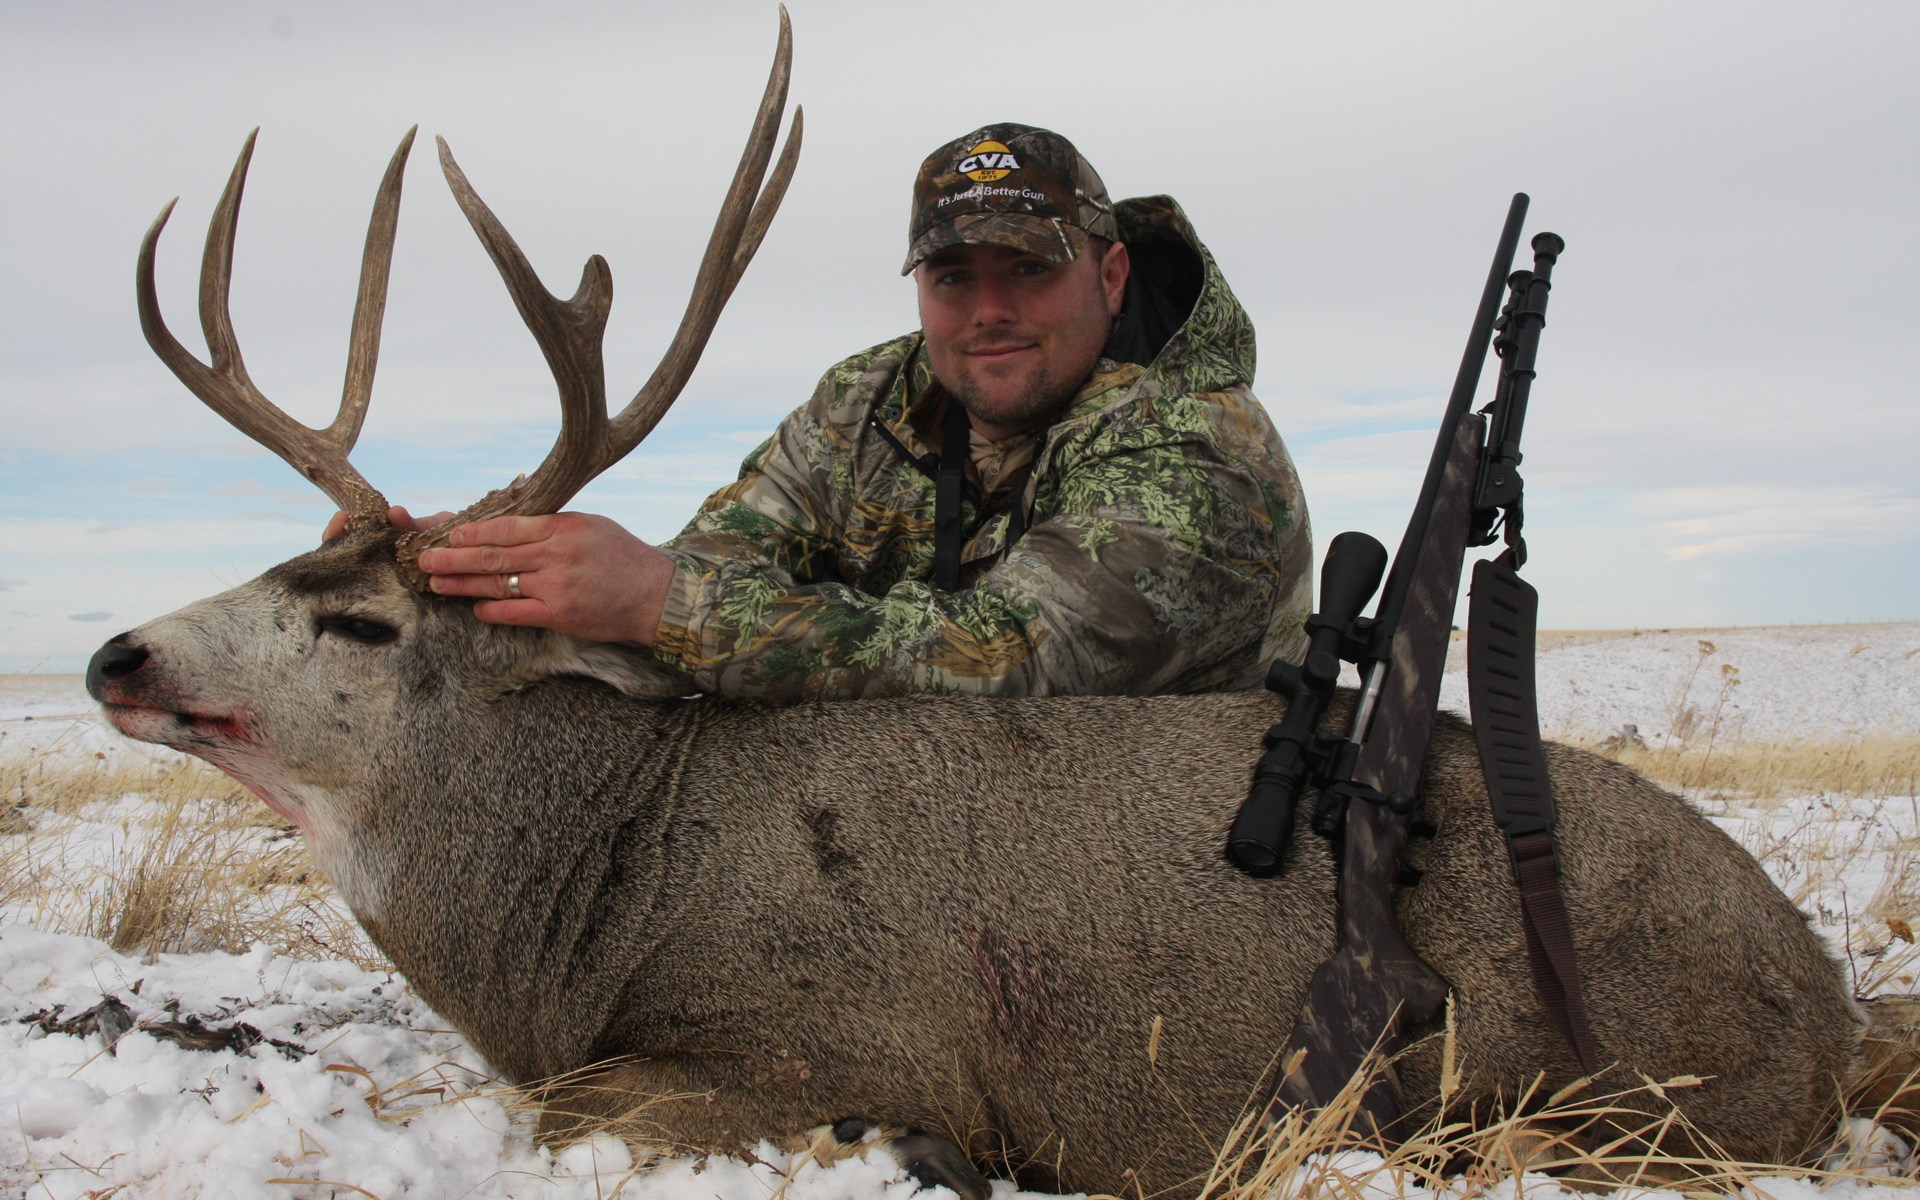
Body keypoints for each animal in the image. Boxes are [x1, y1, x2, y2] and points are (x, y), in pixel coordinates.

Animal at [84, 14, 1919, 1199]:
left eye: (364, 624)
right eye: (289, 566)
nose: (113, 651)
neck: (599, 892)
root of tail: (1819, 995)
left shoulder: (833, 1034)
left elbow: (588, 1117)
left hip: (1620, 1093)